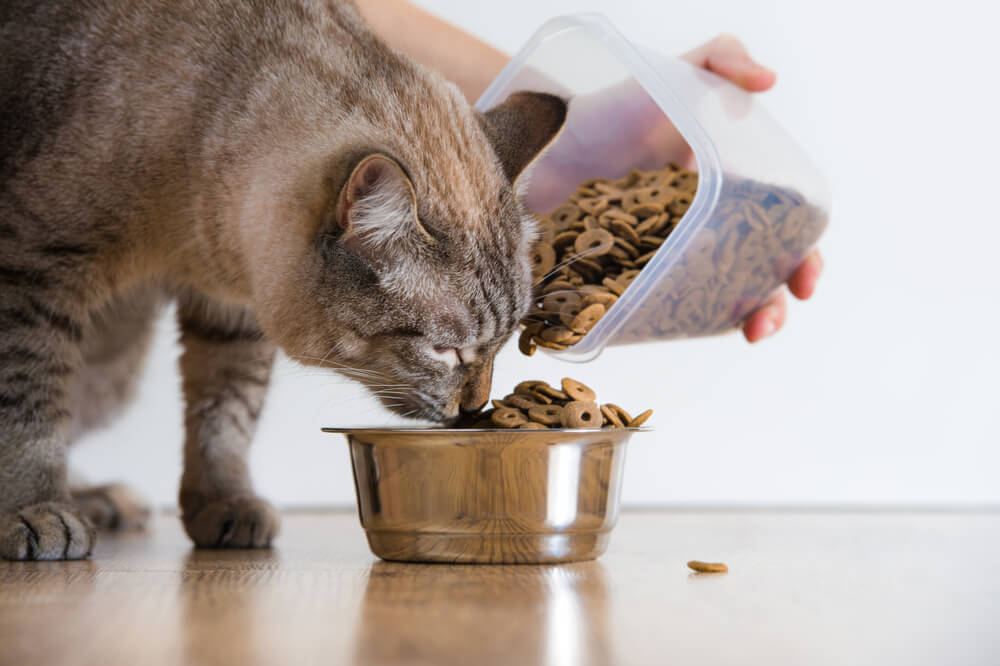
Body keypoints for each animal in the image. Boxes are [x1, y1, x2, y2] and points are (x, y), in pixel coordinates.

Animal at [0, 0, 564, 556]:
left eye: (503, 344)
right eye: (445, 351)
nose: (475, 407)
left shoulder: (232, 314)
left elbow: (225, 417)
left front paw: (225, 504)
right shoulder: (32, 269)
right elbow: (28, 407)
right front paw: (36, 510)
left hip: (114, 367)